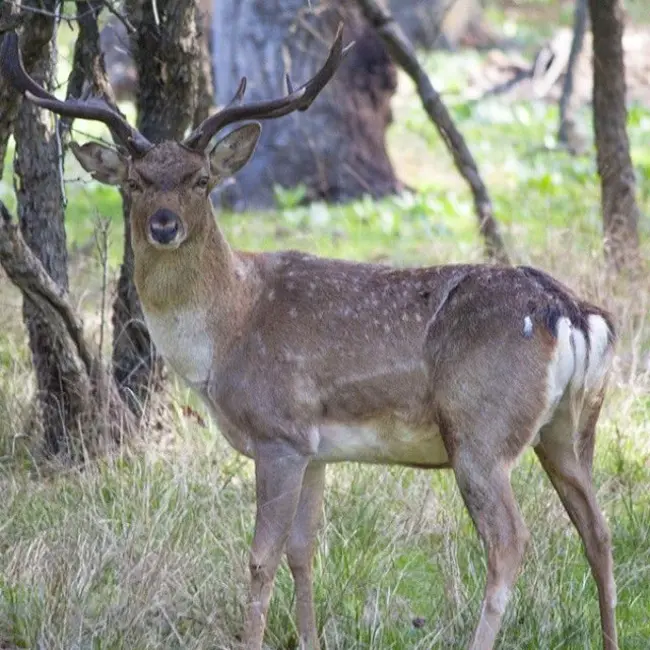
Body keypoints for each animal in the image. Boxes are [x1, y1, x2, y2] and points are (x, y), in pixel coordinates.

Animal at [0, 25, 616, 648]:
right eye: (134, 182)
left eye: (201, 180)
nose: (164, 224)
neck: (225, 334)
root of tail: (570, 312)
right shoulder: (317, 449)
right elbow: (303, 551)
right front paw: (310, 637)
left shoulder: (280, 433)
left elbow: (260, 558)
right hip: (569, 428)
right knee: (598, 529)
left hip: (480, 429)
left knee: (509, 542)